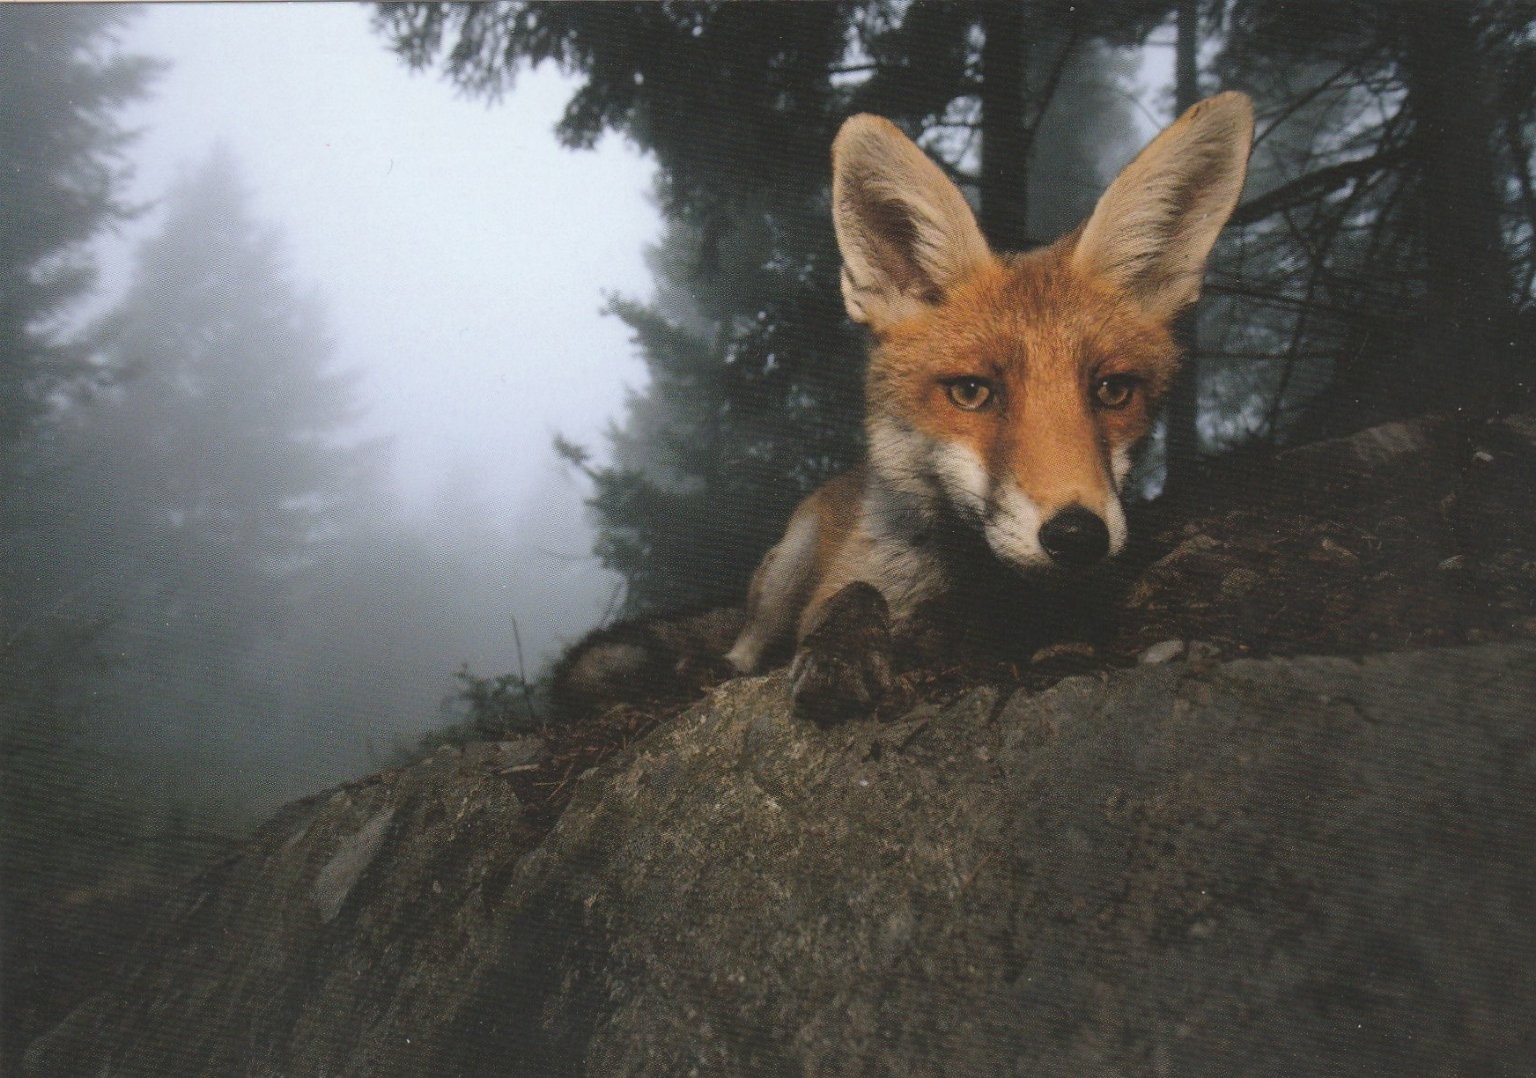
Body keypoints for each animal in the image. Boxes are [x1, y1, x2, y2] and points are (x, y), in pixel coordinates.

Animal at [723, 92, 1254, 722]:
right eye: (972, 392)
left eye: (1112, 391)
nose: (1078, 536)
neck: (980, 589)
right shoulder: (853, 579)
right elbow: (854, 594)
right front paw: (838, 654)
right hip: (785, 574)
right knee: (747, 639)